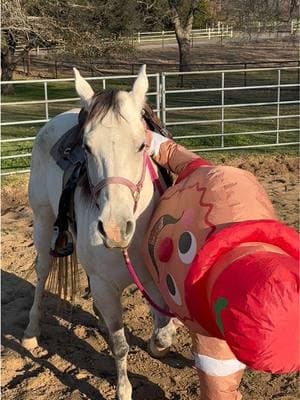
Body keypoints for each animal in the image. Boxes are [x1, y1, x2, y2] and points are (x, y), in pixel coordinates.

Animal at [24, 65, 177, 400]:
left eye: (141, 145)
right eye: (88, 148)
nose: (115, 229)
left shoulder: (154, 282)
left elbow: (164, 331)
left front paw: (157, 344)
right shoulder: (106, 287)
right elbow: (120, 346)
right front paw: (123, 390)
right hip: (43, 223)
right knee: (41, 273)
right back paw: (30, 331)